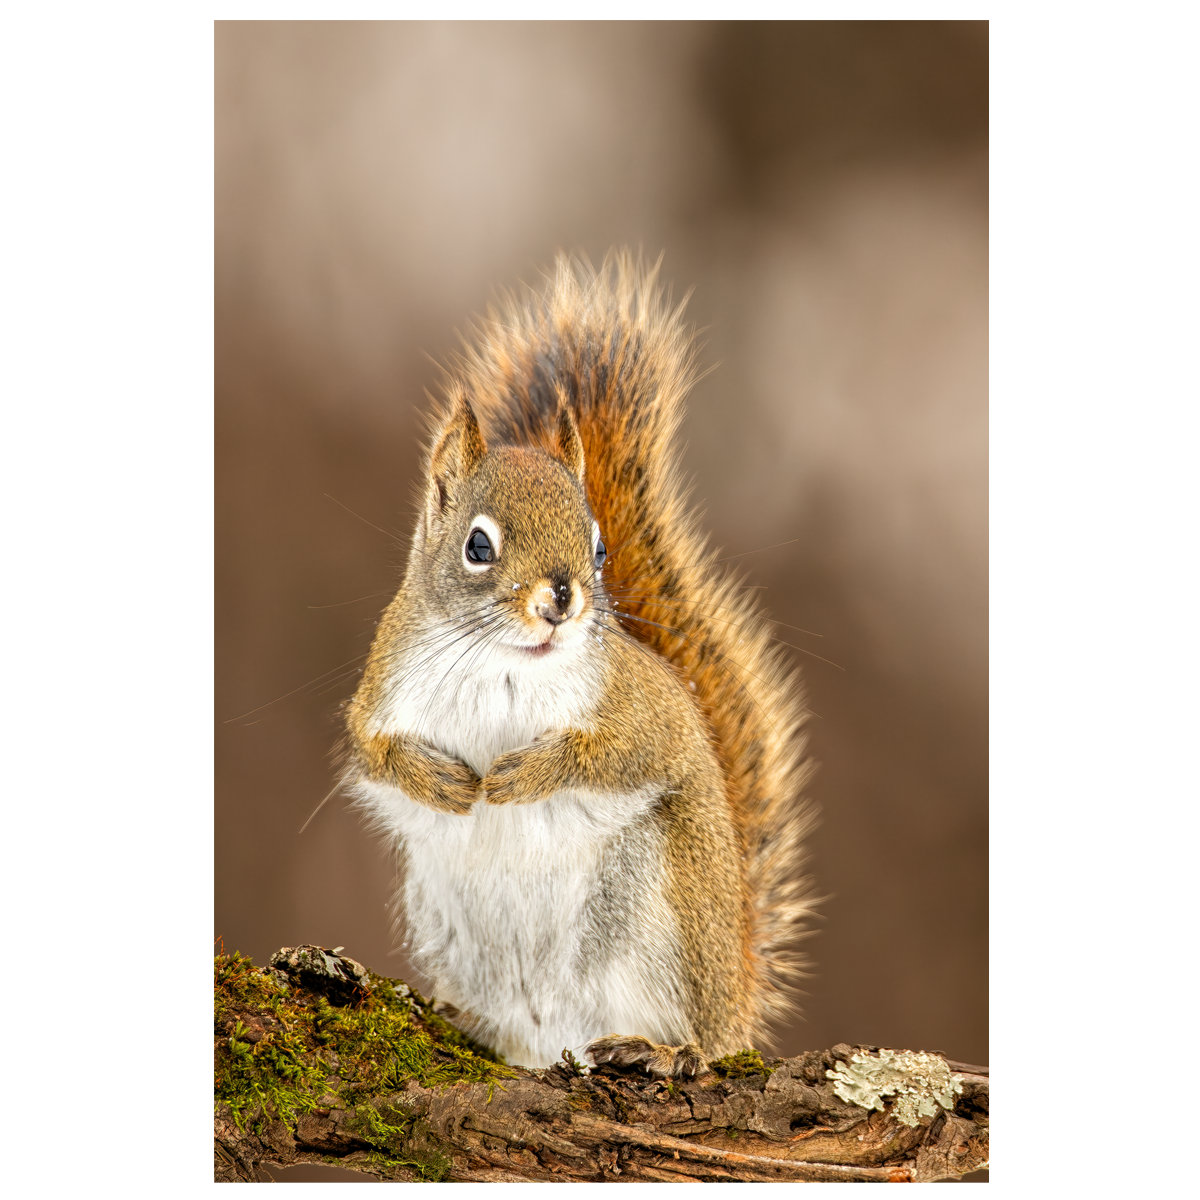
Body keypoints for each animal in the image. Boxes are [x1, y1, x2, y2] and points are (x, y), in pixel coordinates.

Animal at [344, 252, 816, 1078]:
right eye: (477, 544)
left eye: (598, 545)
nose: (563, 597)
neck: (502, 664)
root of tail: (736, 1004)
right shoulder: (381, 688)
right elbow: (371, 750)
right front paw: (436, 779)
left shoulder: (641, 709)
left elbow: (625, 750)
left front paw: (531, 771)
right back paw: (465, 1015)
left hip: (661, 920)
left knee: (692, 1036)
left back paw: (666, 1050)